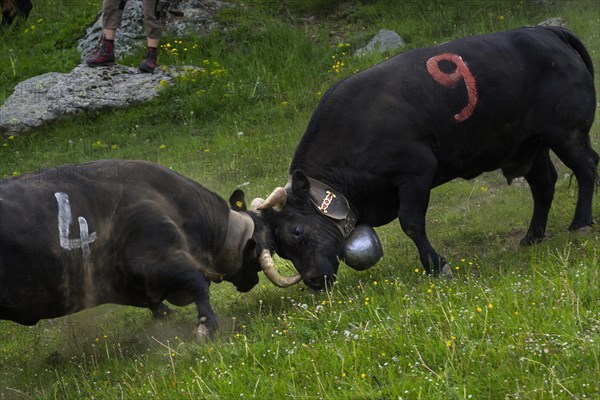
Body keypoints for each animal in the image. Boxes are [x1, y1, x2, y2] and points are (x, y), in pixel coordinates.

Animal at [0, 159, 300, 338]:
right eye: (256, 259)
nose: (252, 282)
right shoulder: (158, 258)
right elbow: (198, 284)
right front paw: (205, 328)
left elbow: (157, 305)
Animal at [256, 26, 596, 290]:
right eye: (283, 252)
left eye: (297, 231)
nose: (313, 280)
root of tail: (547, 31)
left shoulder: (415, 171)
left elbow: (411, 223)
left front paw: (436, 265)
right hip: (529, 144)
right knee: (545, 183)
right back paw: (532, 236)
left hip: (567, 132)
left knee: (586, 168)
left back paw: (581, 223)